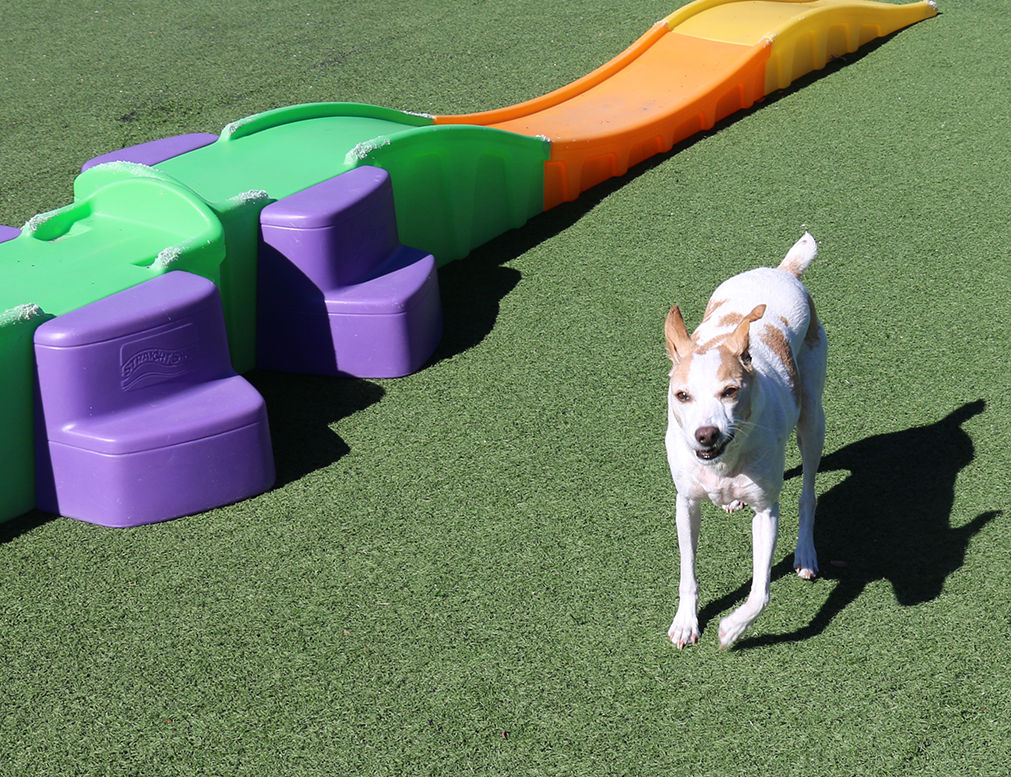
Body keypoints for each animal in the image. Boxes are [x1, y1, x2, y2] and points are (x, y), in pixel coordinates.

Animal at [663, 232, 829, 646]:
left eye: (730, 391)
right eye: (682, 395)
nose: (706, 435)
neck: (724, 463)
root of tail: (782, 270)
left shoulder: (766, 512)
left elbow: (760, 592)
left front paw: (732, 628)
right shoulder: (686, 504)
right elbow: (687, 574)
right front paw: (686, 621)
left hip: (812, 420)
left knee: (807, 493)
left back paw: (805, 552)